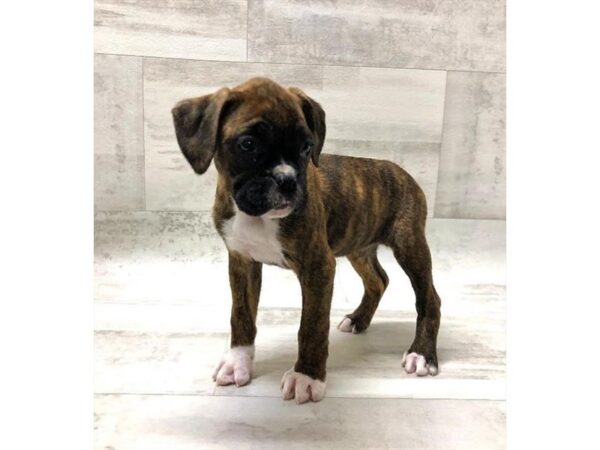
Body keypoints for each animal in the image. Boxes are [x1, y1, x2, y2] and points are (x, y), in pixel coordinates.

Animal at [171, 77, 442, 404]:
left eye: (306, 147)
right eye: (248, 144)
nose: (287, 180)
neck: (258, 217)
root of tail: (404, 173)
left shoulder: (318, 265)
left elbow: (312, 326)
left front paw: (307, 377)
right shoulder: (242, 260)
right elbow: (241, 314)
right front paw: (238, 361)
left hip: (409, 244)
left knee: (429, 298)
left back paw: (422, 354)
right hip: (358, 246)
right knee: (378, 280)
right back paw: (358, 319)